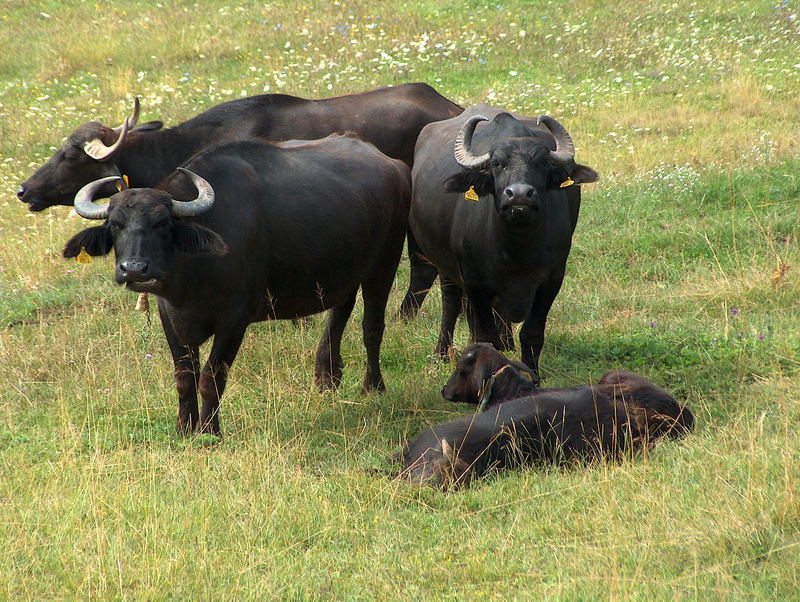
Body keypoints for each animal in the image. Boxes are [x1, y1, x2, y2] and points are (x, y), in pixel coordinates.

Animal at [62, 134, 410, 434]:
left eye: (162, 224)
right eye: (115, 224)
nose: (133, 269)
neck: (193, 275)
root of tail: (393, 165)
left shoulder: (234, 321)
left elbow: (211, 378)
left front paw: (209, 431)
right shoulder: (169, 318)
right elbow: (184, 377)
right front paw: (184, 428)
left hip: (384, 264)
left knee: (372, 326)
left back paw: (372, 386)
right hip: (345, 271)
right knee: (339, 314)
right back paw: (327, 378)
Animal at [410, 103, 596, 380]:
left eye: (541, 162)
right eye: (498, 164)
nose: (519, 195)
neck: (516, 249)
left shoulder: (552, 279)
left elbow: (532, 334)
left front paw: (533, 376)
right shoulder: (474, 280)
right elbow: (487, 336)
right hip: (444, 265)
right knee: (450, 304)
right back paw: (442, 353)